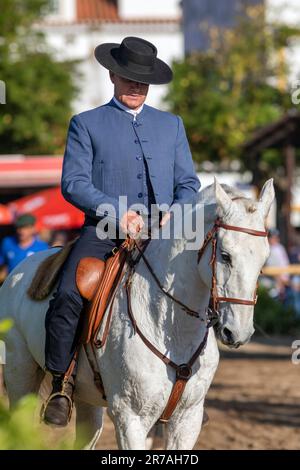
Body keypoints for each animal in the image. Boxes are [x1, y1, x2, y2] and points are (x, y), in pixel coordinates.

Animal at [0, 180, 274, 448]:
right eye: (225, 256)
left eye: (264, 260)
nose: (237, 332)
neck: (174, 331)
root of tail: (19, 272)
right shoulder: (131, 419)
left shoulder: (187, 420)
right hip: (20, 376)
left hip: (88, 403)